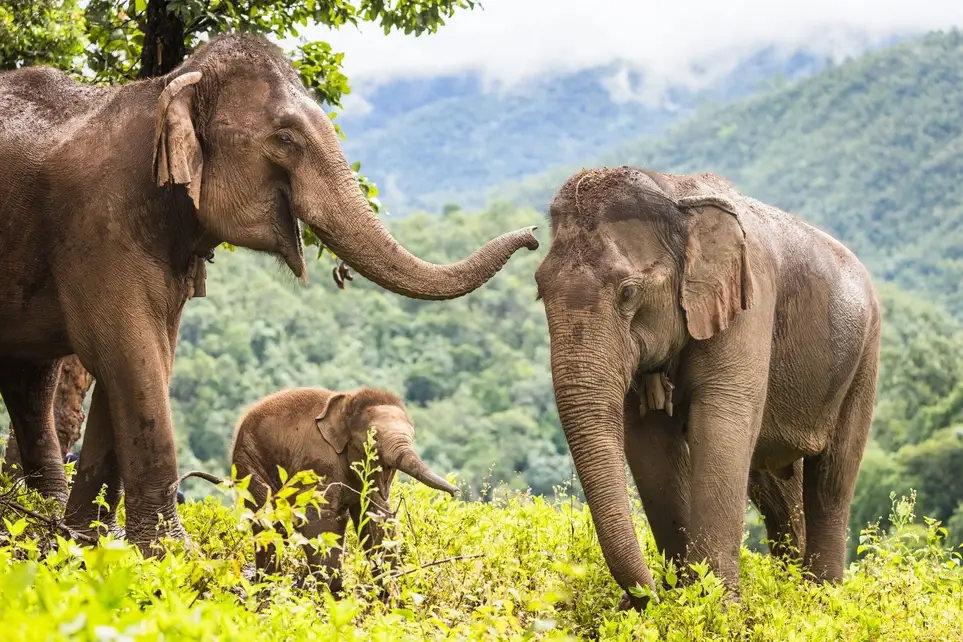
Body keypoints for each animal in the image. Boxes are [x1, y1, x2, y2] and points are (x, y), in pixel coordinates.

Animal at [0, 32, 537, 552]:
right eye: (285, 139)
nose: (533, 236)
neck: (165, 87)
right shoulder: (97, 231)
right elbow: (128, 354)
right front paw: (169, 553)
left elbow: (146, 355)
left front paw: (87, 544)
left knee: (30, 379)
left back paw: (43, 519)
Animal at [231, 386, 458, 596]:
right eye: (374, 439)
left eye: (412, 437)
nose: (455, 492)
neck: (347, 404)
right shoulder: (318, 463)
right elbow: (321, 517)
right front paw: (331, 591)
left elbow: (376, 516)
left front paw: (388, 590)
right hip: (250, 465)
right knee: (268, 522)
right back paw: (267, 588)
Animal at [533, 166, 880, 609]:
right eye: (539, 289)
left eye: (628, 292)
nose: (638, 599)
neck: (673, 192)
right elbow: (648, 442)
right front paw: (683, 600)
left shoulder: (750, 301)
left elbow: (721, 422)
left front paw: (718, 607)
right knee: (776, 487)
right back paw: (791, 590)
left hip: (865, 354)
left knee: (831, 478)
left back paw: (822, 601)